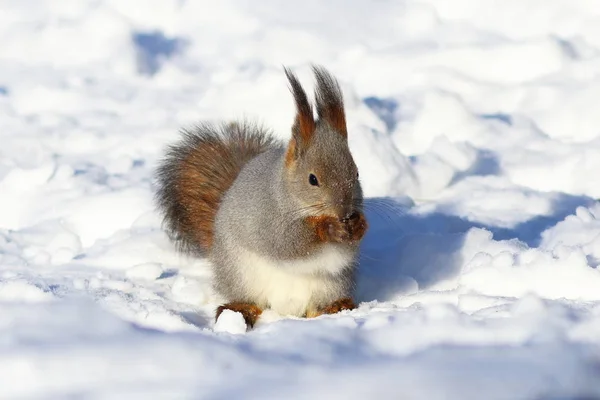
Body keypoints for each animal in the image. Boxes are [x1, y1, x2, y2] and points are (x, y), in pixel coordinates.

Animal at [154, 65, 366, 328]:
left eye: (356, 173)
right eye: (312, 179)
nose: (345, 212)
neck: (288, 194)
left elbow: (347, 250)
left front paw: (359, 226)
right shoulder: (267, 220)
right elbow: (288, 243)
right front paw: (329, 228)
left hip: (331, 285)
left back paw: (336, 307)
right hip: (241, 274)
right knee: (252, 301)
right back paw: (239, 310)